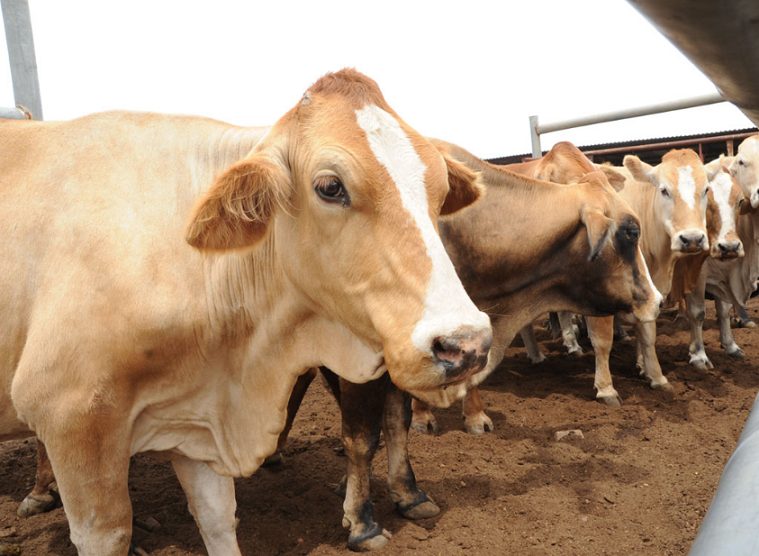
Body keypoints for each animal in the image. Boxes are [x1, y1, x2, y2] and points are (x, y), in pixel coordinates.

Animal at [0, 69, 493, 556]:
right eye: (330, 186)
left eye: (440, 190)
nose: (465, 344)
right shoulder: (72, 419)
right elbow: (108, 532)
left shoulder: (196, 424)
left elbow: (218, 519)